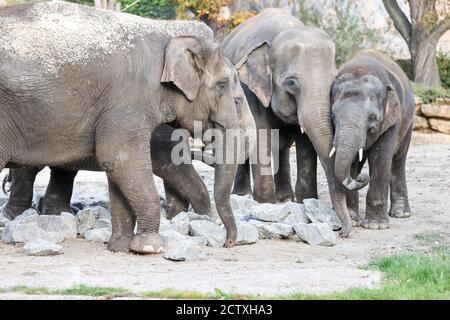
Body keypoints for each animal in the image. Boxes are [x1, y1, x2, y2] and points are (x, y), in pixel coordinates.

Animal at [0, 1, 255, 252]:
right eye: (235, 99)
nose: (229, 243)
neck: (168, 29)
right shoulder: (129, 98)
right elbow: (120, 157)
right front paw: (150, 248)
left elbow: (116, 164)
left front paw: (120, 247)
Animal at [220, 8, 354, 238]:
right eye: (291, 83)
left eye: (334, 80)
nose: (343, 232)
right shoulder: (249, 90)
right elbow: (261, 136)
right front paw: (264, 204)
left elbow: (306, 141)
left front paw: (306, 202)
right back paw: (243, 195)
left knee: (282, 146)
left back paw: (285, 198)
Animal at [330, 49, 414, 230]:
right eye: (333, 116)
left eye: (372, 117)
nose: (362, 178)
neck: (361, 69)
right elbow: (352, 162)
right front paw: (353, 220)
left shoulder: (391, 120)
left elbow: (381, 157)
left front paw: (376, 226)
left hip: (408, 123)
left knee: (398, 160)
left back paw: (401, 213)